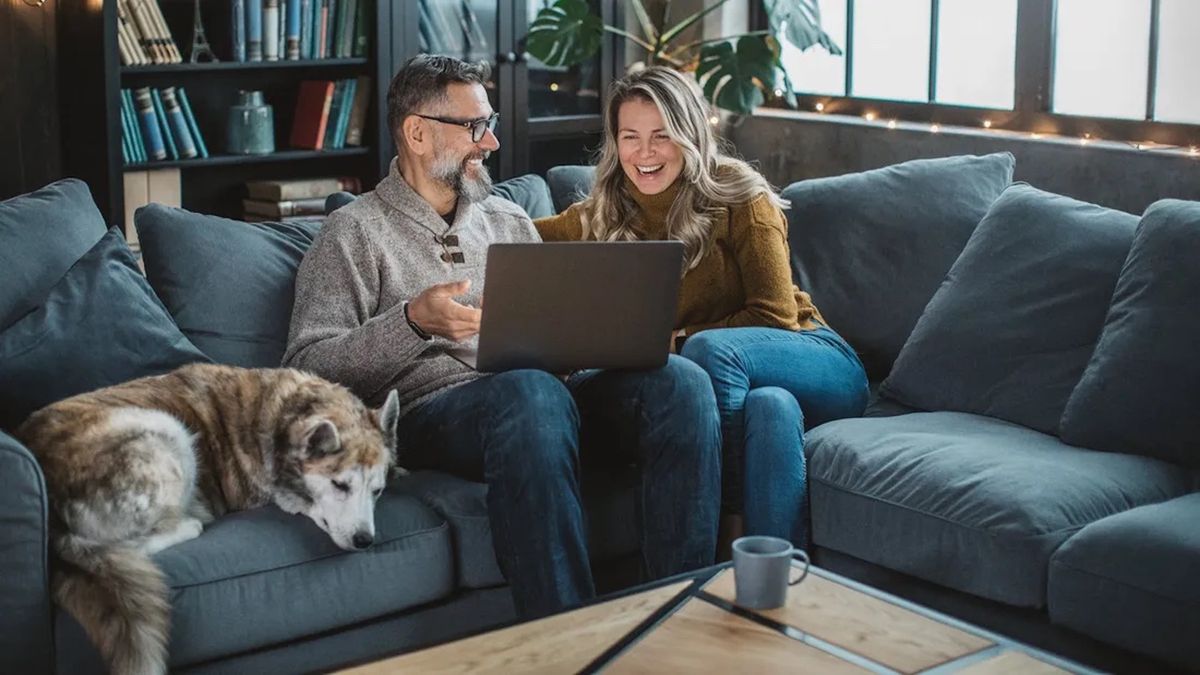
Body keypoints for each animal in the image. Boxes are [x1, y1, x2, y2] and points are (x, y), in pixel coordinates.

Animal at [17, 362, 403, 672]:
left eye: (378, 491)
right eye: (339, 485)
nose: (365, 541)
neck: (284, 418)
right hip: (164, 430)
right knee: (135, 542)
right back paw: (191, 520)